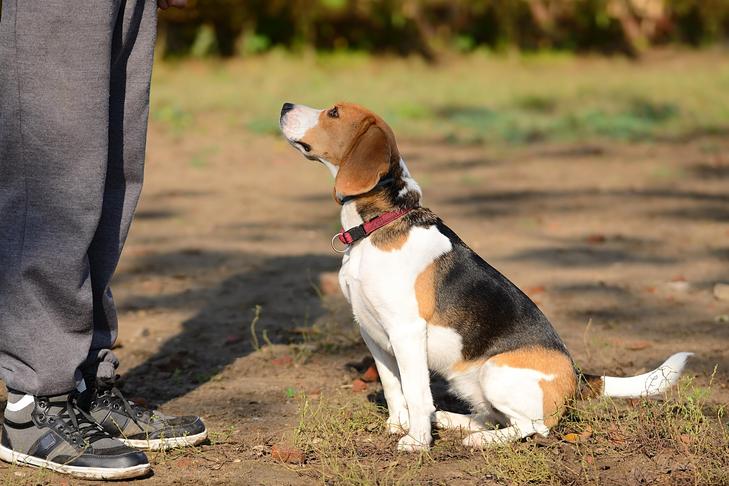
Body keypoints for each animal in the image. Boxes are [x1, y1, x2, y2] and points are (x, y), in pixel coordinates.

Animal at [278, 99, 688, 452]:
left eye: (333, 112)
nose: (284, 105)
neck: (380, 223)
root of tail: (577, 377)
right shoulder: (372, 332)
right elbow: (394, 388)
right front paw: (398, 425)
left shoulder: (406, 331)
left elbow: (415, 391)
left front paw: (415, 441)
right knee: (491, 416)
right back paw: (450, 420)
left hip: (496, 371)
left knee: (533, 427)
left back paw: (479, 440)